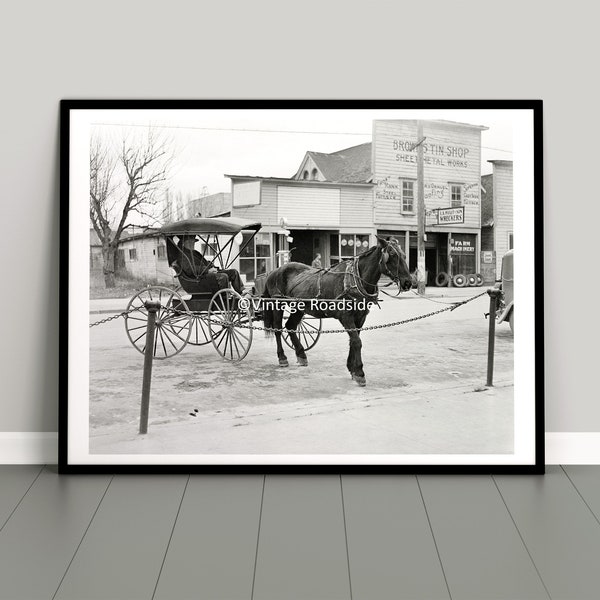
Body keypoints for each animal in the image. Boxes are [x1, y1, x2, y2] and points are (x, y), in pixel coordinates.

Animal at [262, 237, 412, 386]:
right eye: (392, 255)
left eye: (404, 255)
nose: (408, 282)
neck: (356, 280)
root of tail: (275, 271)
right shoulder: (346, 317)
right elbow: (357, 341)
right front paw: (359, 372)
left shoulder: (360, 317)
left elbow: (354, 340)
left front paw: (352, 368)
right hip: (278, 304)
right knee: (278, 329)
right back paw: (282, 357)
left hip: (299, 307)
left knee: (291, 326)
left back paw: (301, 354)